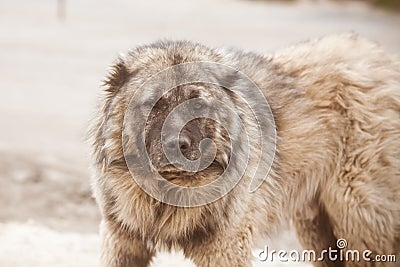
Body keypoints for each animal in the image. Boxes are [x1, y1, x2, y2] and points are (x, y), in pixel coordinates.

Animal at [90, 34, 400, 266]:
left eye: (198, 104)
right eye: (154, 102)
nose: (176, 145)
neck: (169, 193)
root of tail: (382, 59)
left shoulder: (226, 249)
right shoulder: (122, 242)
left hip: (357, 218)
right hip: (315, 226)